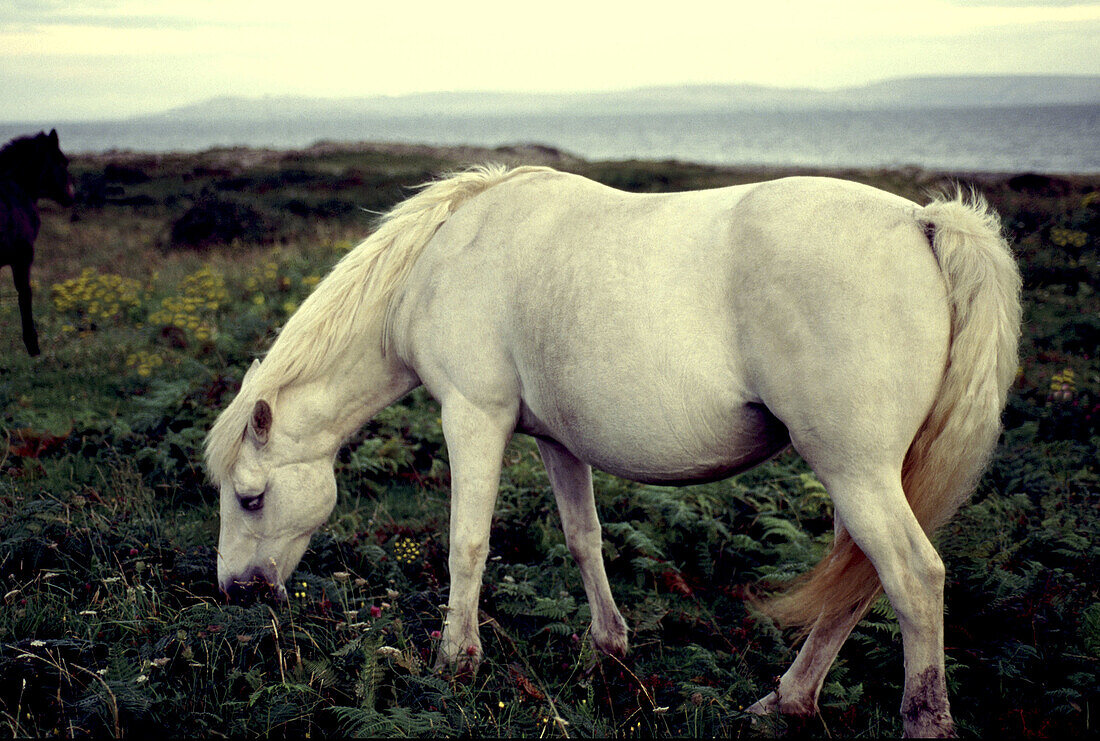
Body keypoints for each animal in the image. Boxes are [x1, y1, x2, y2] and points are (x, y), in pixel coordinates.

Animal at [206, 164, 1020, 734]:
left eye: (252, 496)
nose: (237, 590)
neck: (443, 259)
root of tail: (922, 221)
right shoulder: (557, 441)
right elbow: (584, 537)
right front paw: (610, 647)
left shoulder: (474, 417)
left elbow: (467, 543)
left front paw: (455, 661)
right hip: (863, 476)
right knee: (859, 580)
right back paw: (784, 701)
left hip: (855, 471)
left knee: (911, 578)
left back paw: (916, 719)